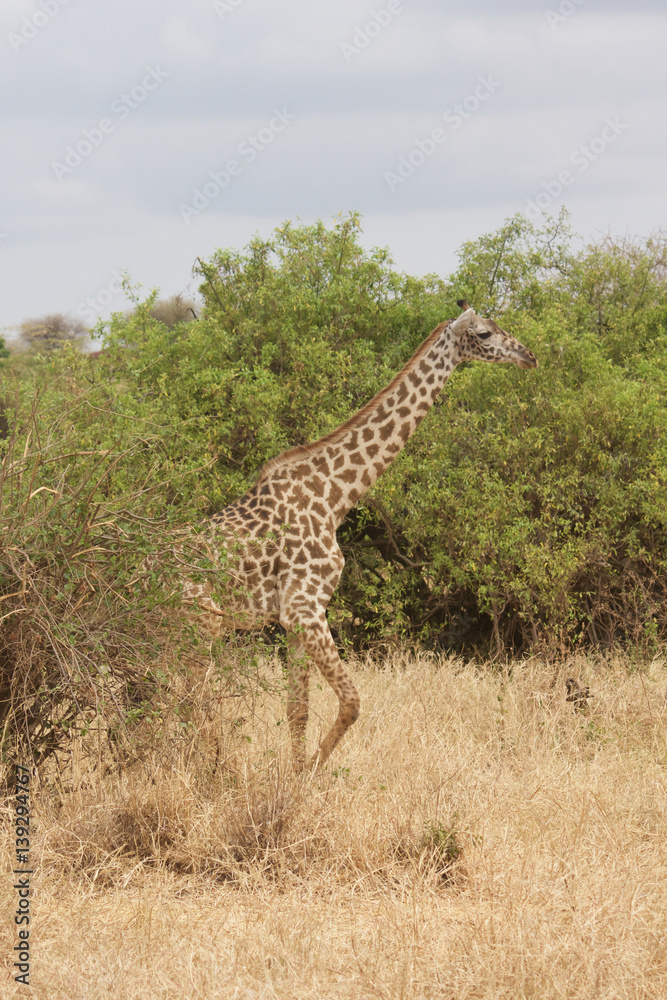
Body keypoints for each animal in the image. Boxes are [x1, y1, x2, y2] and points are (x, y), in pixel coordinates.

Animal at [177, 300, 536, 768]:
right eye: (484, 334)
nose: (529, 356)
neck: (334, 498)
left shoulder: (295, 617)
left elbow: (298, 709)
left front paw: (294, 777)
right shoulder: (306, 607)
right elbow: (351, 702)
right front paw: (311, 773)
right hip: (200, 629)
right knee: (187, 704)